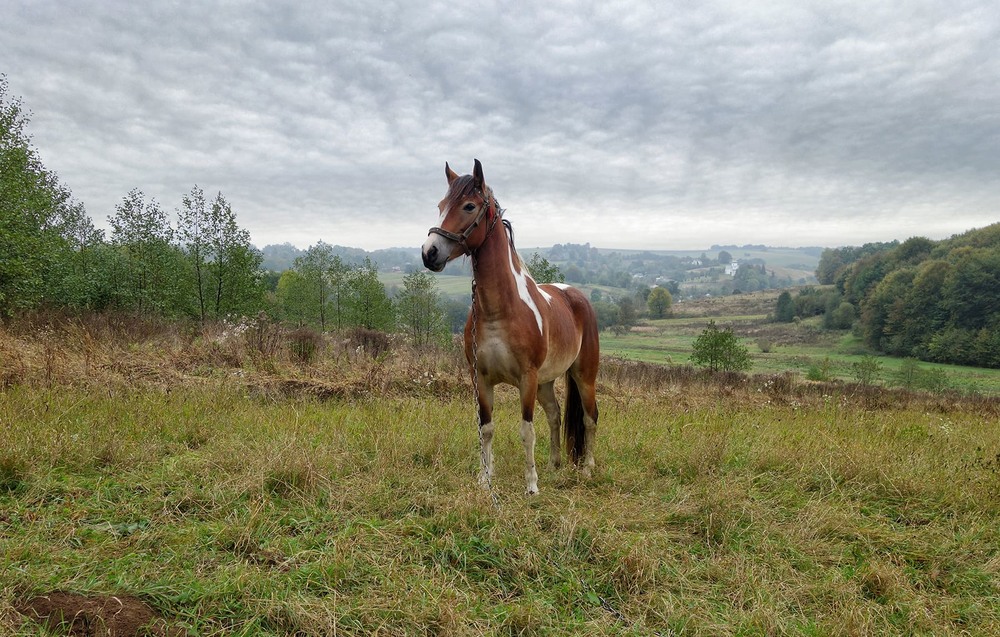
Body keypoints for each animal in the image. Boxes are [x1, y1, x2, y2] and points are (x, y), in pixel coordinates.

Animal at [422, 158, 600, 492]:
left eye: (468, 205)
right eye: (440, 205)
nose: (430, 253)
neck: (499, 312)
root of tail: (575, 295)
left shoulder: (526, 379)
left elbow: (526, 431)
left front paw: (531, 485)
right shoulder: (481, 379)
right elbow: (487, 428)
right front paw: (485, 479)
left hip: (583, 376)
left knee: (589, 417)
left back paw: (587, 469)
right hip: (546, 381)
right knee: (555, 415)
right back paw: (554, 466)